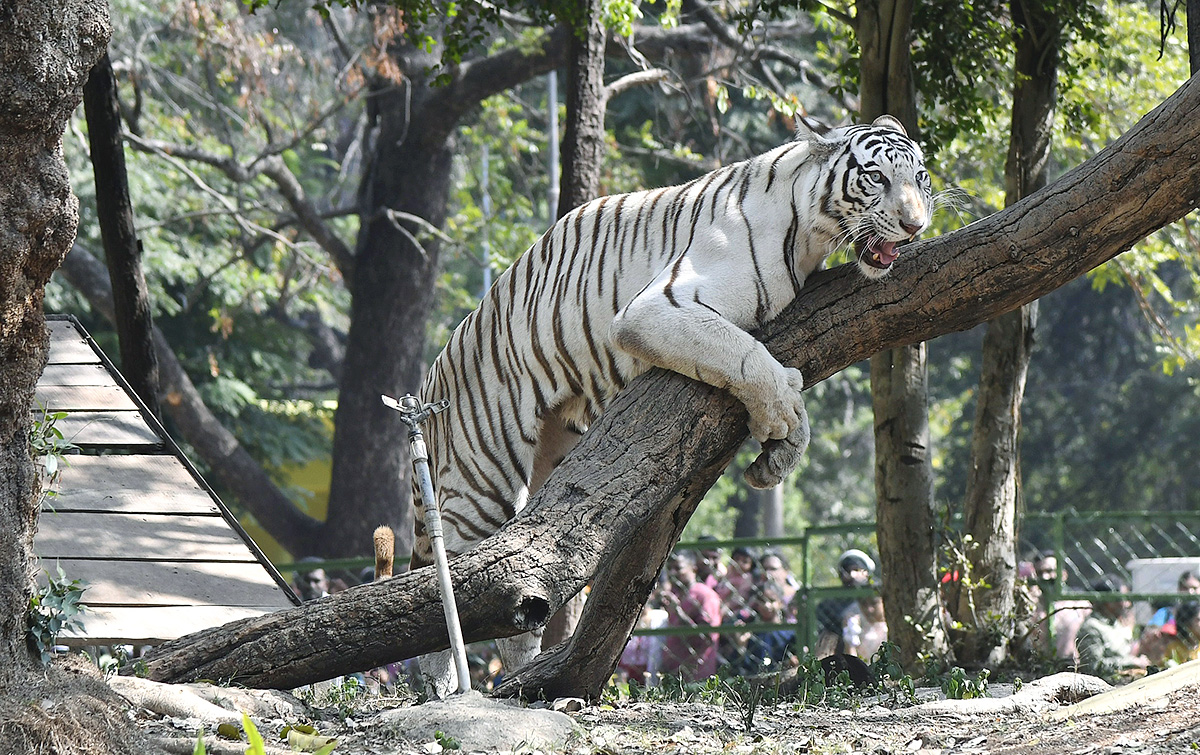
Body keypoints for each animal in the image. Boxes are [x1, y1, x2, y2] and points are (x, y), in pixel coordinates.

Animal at [408, 113, 931, 696]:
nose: (914, 226)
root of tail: (431, 376)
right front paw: (782, 415)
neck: (809, 234)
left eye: (920, 177)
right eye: (877, 178)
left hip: (550, 460)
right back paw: (449, 690)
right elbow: (749, 357)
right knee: (451, 580)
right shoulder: (661, 306)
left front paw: (777, 457)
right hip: (482, 481)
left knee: (521, 591)